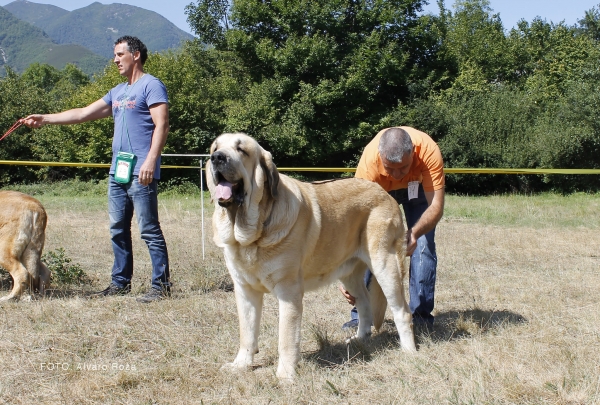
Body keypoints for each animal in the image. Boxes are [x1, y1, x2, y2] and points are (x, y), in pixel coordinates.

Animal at [205, 133, 412, 378]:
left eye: (241, 150)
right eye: (215, 148)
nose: (217, 158)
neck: (251, 235)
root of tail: (386, 194)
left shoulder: (288, 291)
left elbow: (286, 338)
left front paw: (285, 375)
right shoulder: (245, 290)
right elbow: (247, 333)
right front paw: (241, 365)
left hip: (386, 267)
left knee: (402, 311)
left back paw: (410, 351)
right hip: (350, 275)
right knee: (364, 303)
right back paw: (359, 339)